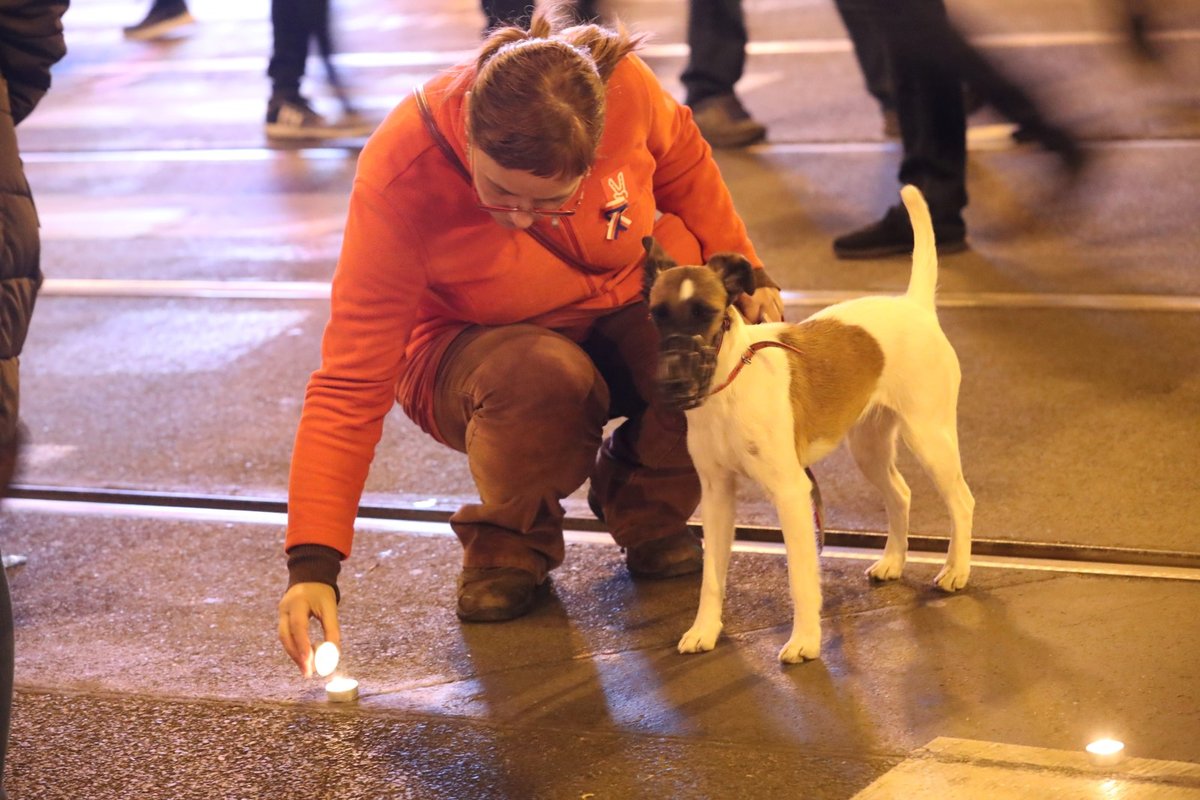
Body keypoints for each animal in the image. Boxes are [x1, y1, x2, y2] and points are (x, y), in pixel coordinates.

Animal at [643, 185, 969, 662]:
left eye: (706, 312)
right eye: (658, 315)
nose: (674, 381)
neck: (731, 388)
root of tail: (915, 306)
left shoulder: (791, 493)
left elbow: (801, 577)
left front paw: (806, 641)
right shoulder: (718, 495)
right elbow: (711, 579)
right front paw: (705, 630)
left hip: (930, 438)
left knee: (961, 501)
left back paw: (957, 569)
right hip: (870, 447)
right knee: (901, 493)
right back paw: (893, 561)